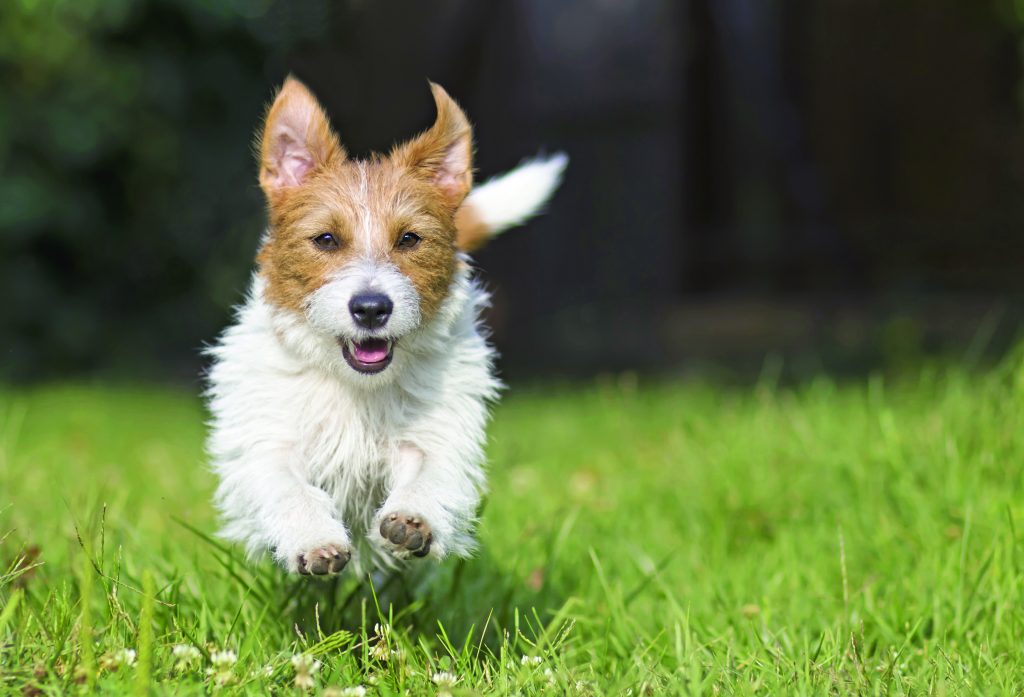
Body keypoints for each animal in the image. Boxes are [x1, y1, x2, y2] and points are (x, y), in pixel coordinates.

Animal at [203, 77, 565, 577]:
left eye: (409, 239)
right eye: (326, 239)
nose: (371, 308)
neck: (355, 386)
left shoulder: (437, 433)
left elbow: (430, 473)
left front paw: (414, 519)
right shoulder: (268, 440)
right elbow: (287, 487)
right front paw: (313, 538)